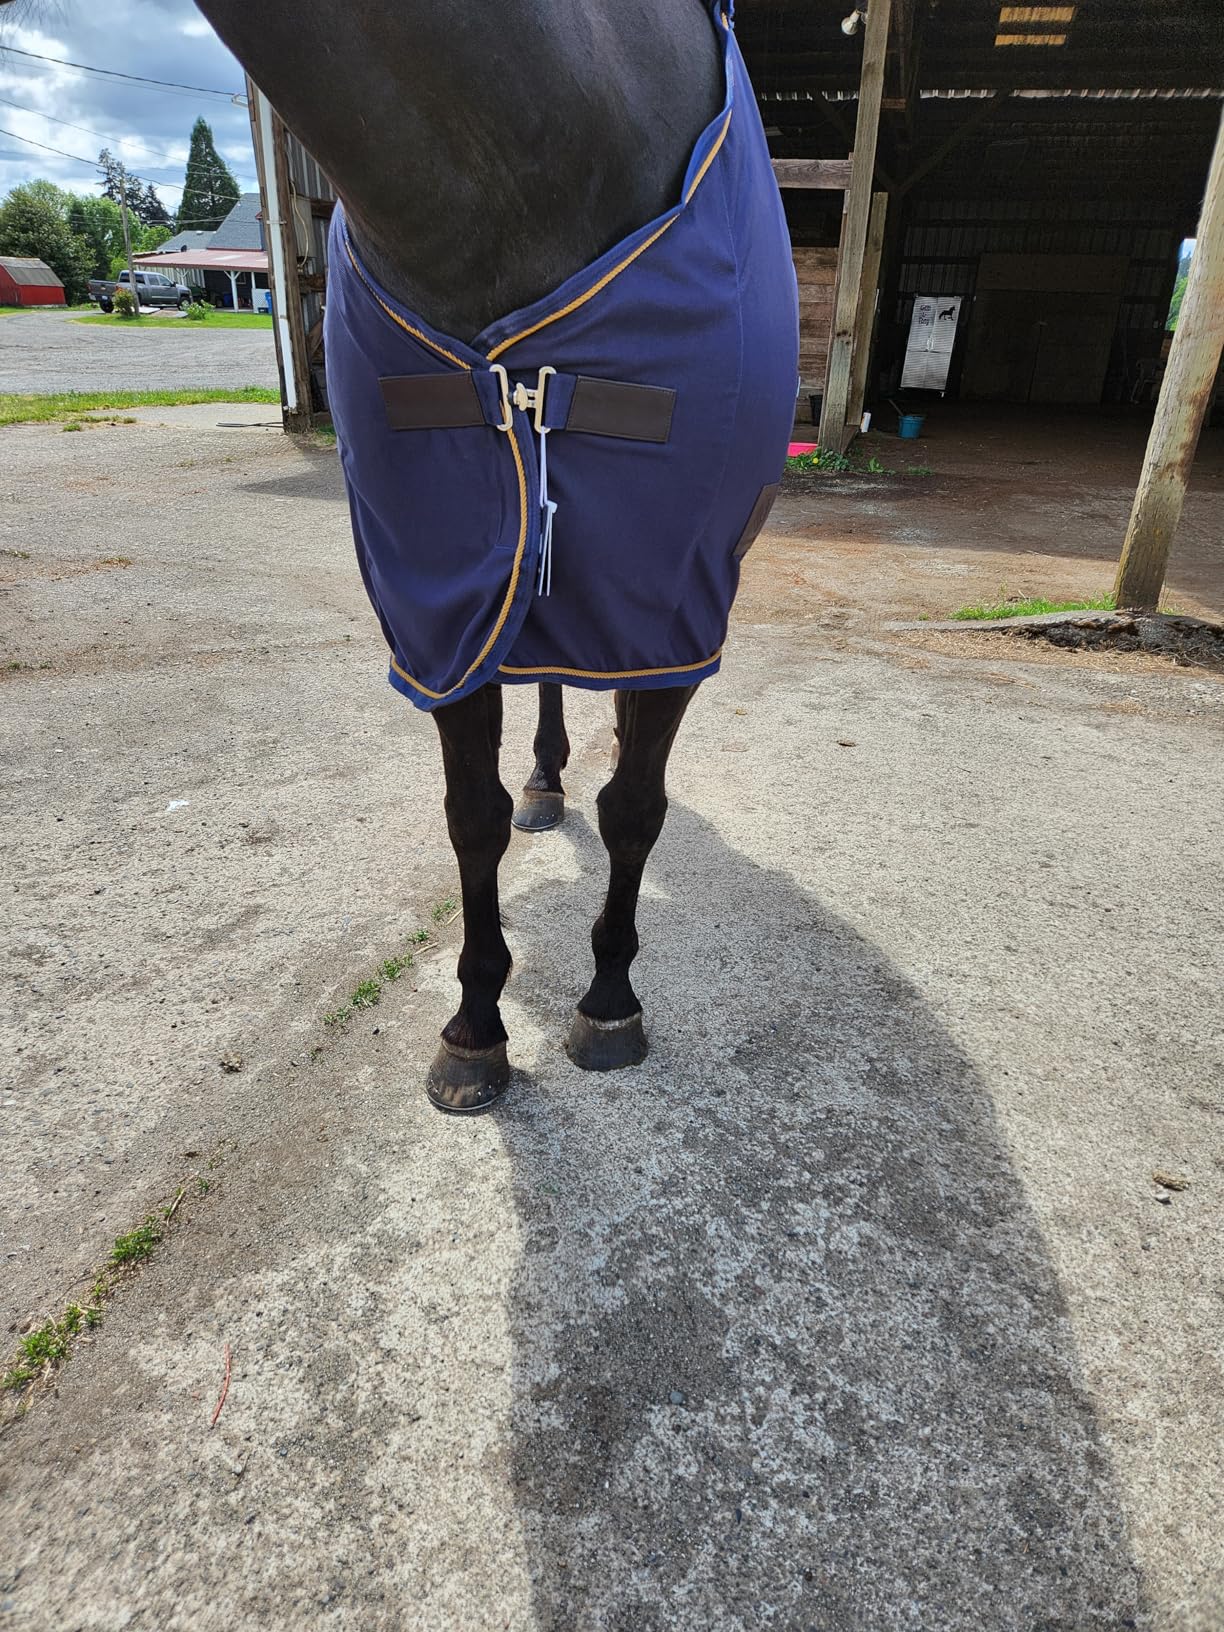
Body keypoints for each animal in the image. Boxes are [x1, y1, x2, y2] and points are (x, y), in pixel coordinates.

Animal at [191, 0, 799, 1112]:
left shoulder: (675, 610)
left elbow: (634, 810)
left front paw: (608, 1004)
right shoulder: (444, 612)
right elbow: (471, 817)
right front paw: (475, 1028)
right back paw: (546, 784)